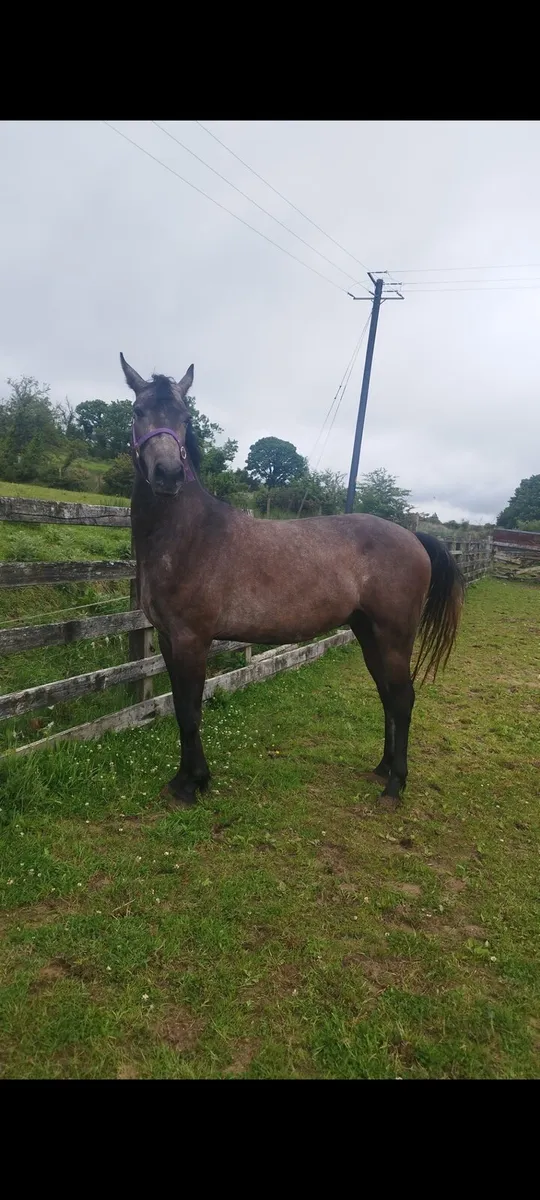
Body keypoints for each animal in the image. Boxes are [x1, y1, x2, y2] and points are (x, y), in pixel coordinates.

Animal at [121, 354, 464, 812]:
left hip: (394, 635)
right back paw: (382, 768)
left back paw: (394, 787)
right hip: (368, 632)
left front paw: (193, 785)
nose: (168, 475)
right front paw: (183, 779)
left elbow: (191, 711)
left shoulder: (193, 639)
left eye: (186, 417)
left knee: (403, 698)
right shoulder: (166, 638)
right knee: (387, 695)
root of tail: (413, 537)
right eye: (137, 411)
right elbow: (179, 707)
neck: (189, 533)